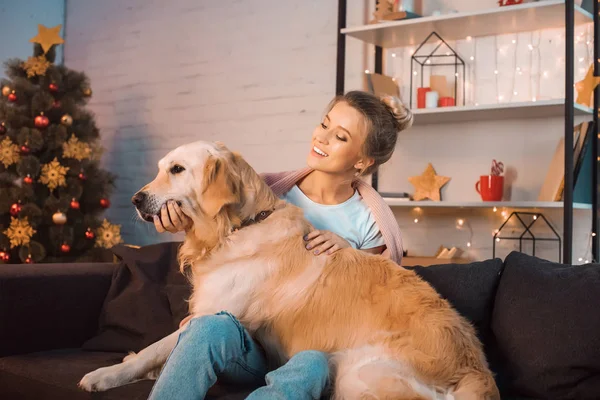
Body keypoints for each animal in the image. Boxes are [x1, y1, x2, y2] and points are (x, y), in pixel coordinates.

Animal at [81, 141, 502, 400]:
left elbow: (155, 348)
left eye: (177, 169)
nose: (135, 199)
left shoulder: (209, 313)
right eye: (160, 169)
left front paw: (104, 376)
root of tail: (478, 371)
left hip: (356, 372)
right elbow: (154, 351)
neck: (236, 228)